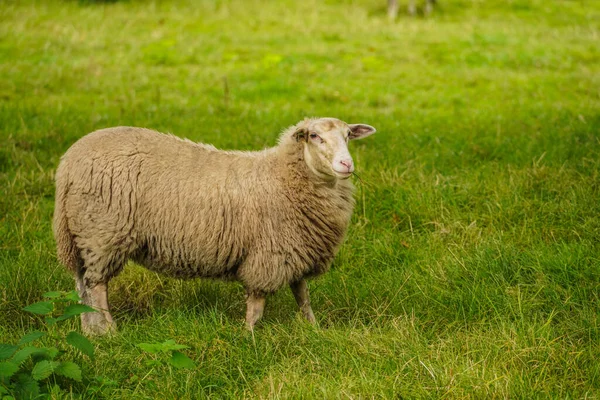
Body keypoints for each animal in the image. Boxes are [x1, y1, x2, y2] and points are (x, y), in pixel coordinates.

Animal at [55, 118, 376, 334]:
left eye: (349, 135)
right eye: (313, 136)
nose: (346, 165)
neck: (283, 177)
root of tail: (67, 163)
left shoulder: (297, 249)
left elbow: (303, 295)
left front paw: (314, 329)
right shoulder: (269, 254)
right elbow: (257, 305)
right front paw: (249, 337)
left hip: (83, 236)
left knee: (81, 285)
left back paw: (89, 331)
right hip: (102, 234)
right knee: (97, 287)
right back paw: (110, 331)